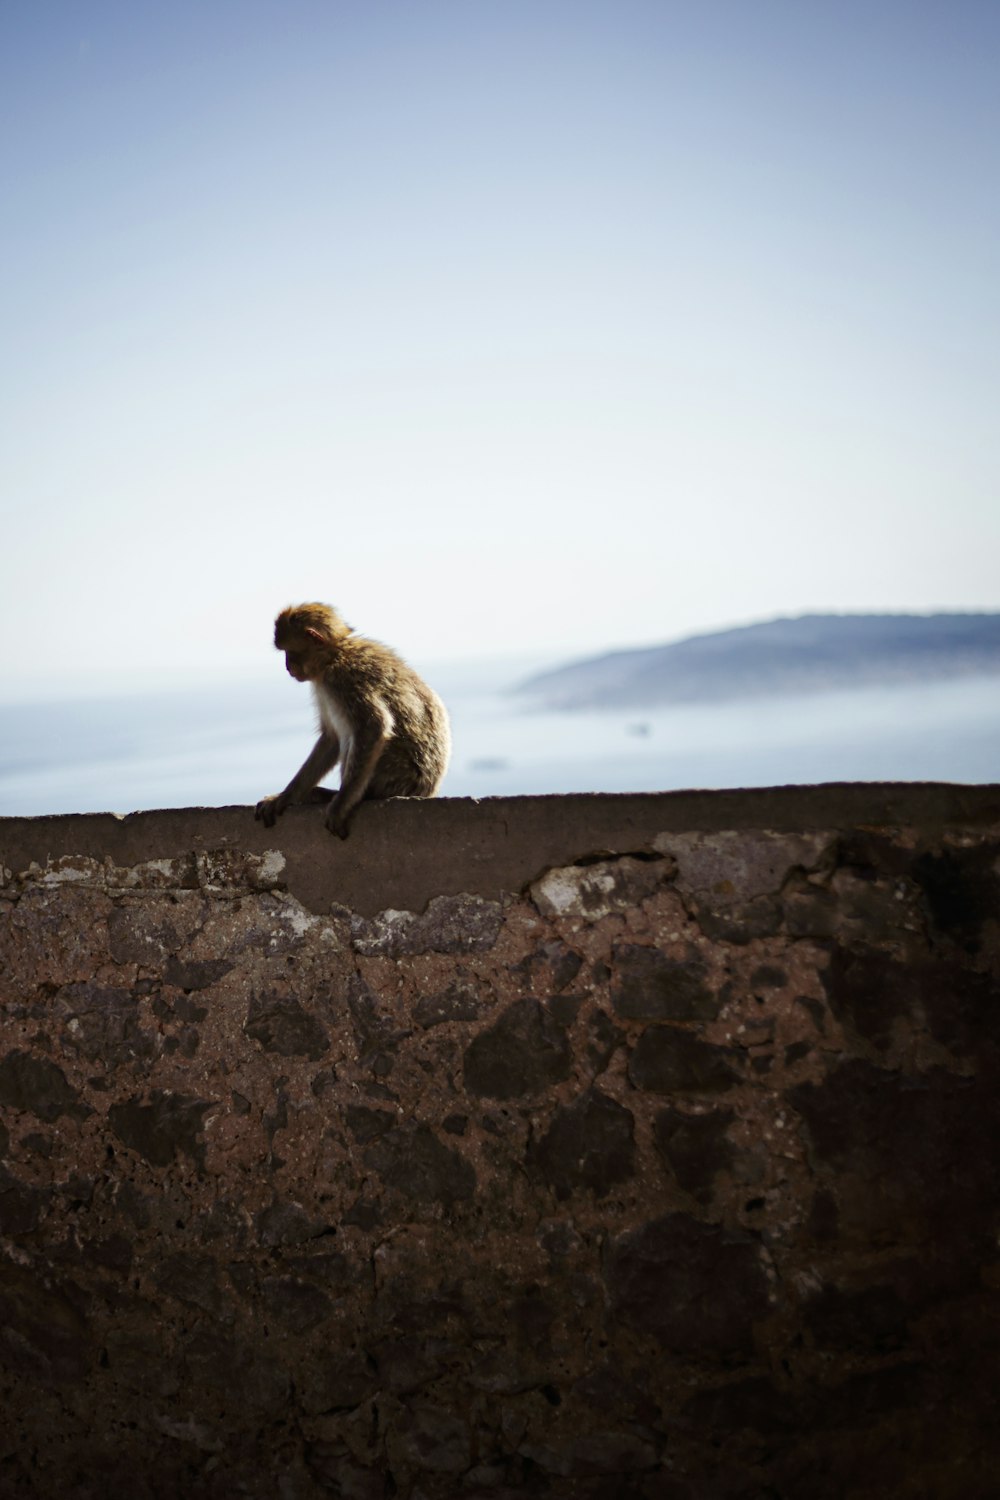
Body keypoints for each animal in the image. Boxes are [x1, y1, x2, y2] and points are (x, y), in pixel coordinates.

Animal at [254, 606, 452, 846]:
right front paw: (286, 797)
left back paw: (337, 796)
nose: (287, 666)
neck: (335, 654)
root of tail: (426, 792)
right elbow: (331, 738)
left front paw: (341, 806)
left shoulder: (341, 679)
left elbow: (373, 726)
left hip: (393, 773)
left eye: (288, 651)